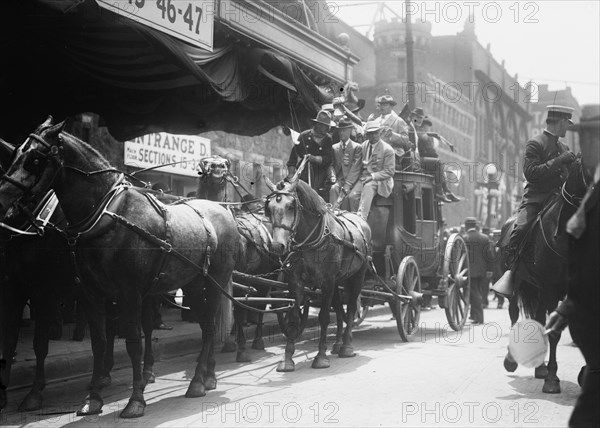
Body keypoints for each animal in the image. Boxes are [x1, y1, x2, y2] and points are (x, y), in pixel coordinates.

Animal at [0, 118, 241, 420]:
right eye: (13, 154)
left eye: (35, 159)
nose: (3, 203)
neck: (108, 214)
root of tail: (221, 209)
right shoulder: (85, 292)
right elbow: (98, 342)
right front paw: (93, 398)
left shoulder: (121, 292)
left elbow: (131, 342)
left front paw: (135, 401)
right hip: (192, 283)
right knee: (202, 324)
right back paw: (203, 377)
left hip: (214, 281)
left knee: (208, 326)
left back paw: (199, 380)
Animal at [197, 155, 282, 362]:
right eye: (205, 162)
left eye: (224, 164)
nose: (216, 168)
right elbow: (209, 315)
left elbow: (239, 309)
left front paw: (242, 350)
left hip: (267, 276)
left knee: (259, 303)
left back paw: (257, 340)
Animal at [264, 177, 370, 372]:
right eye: (269, 208)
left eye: (291, 206)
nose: (276, 246)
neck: (312, 241)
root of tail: (360, 220)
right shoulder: (295, 282)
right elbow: (294, 317)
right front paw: (287, 359)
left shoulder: (327, 282)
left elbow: (324, 317)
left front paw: (321, 357)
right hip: (338, 282)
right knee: (339, 309)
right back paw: (337, 344)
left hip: (358, 275)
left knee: (351, 308)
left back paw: (346, 346)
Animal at [496, 157, 592, 392]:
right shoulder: (550, 288)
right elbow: (555, 332)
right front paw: (551, 378)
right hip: (518, 285)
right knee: (514, 314)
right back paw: (512, 360)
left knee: (539, 318)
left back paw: (540, 368)